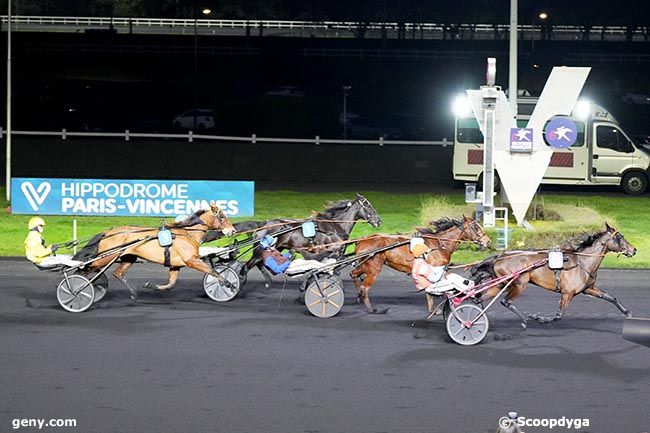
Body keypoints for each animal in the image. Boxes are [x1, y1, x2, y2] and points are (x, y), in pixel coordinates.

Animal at [74, 204, 235, 298]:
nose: (232, 231)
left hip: (128, 257)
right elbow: (212, 271)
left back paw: (133, 293)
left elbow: (171, 284)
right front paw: (229, 284)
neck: (187, 234)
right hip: (105, 257)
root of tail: (108, 232)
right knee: (84, 269)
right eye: (222, 217)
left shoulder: (175, 265)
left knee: (117, 273)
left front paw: (150, 285)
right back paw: (76, 288)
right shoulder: (192, 261)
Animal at [239, 194, 380, 286]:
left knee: (259, 264)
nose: (378, 221)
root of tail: (263, 224)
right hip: (259, 250)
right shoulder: (333, 252)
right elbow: (331, 271)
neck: (335, 227)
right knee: (246, 267)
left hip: (275, 248)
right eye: (368, 206)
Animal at [352, 218, 488, 312]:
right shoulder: (435, 269)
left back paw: (358, 296)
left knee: (353, 274)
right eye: (476, 227)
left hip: (365, 266)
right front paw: (435, 309)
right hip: (373, 268)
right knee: (365, 288)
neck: (440, 244)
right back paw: (371, 309)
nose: (488, 241)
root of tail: (362, 241)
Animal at [468, 223, 636, 328]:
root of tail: (500, 256)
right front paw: (538, 318)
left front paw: (628, 313)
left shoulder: (589, 289)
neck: (582, 262)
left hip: (500, 284)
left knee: (479, 298)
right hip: (519, 283)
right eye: (620, 237)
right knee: (505, 301)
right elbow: (559, 315)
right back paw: (524, 320)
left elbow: (611, 298)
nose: (634, 250)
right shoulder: (567, 293)